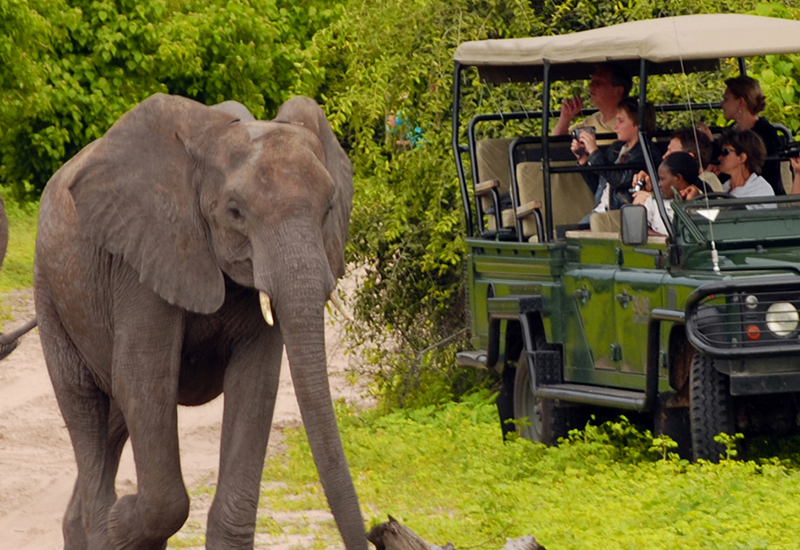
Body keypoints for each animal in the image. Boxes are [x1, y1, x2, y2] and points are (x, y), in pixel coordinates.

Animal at [33, 95, 366, 550]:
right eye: (235, 212)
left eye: (329, 207)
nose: (376, 534)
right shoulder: (142, 259)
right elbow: (144, 376)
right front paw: (120, 521)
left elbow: (255, 384)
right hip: (51, 295)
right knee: (85, 406)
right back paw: (104, 524)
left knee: (116, 414)